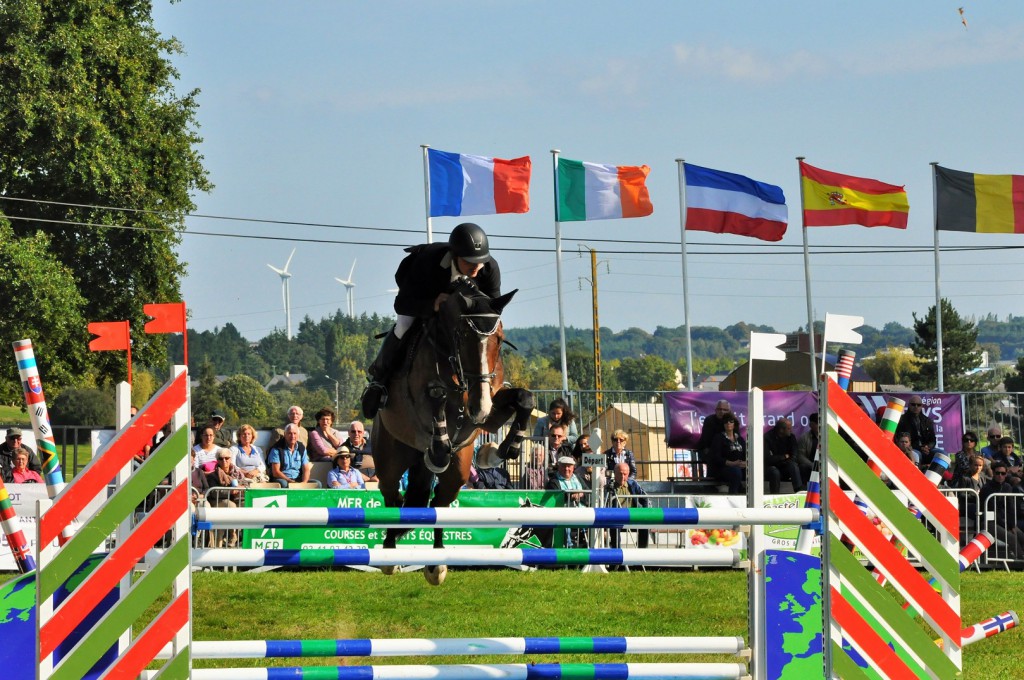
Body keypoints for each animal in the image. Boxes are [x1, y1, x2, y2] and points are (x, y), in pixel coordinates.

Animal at [374, 276, 536, 585]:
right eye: (464, 336)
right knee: (393, 496)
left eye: (499, 339)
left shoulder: (488, 406)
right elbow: (436, 396)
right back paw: (389, 556)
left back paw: (436, 565)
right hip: (390, 455)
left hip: (457, 471)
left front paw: (504, 449)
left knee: (439, 502)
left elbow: (524, 399)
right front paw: (439, 449)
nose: (479, 407)